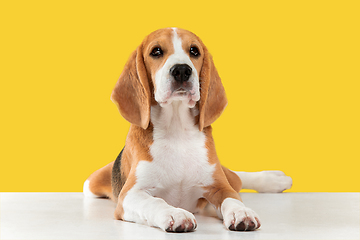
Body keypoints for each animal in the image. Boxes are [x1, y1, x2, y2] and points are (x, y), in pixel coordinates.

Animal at [84, 28, 292, 232]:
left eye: (194, 51)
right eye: (156, 51)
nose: (182, 70)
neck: (177, 131)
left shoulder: (220, 186)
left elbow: (232, 199)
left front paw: (241, 212)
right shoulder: (130, 195)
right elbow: (155, 202)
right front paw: (174, 214)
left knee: (236, 177)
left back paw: (275, 180)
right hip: (91, 184)